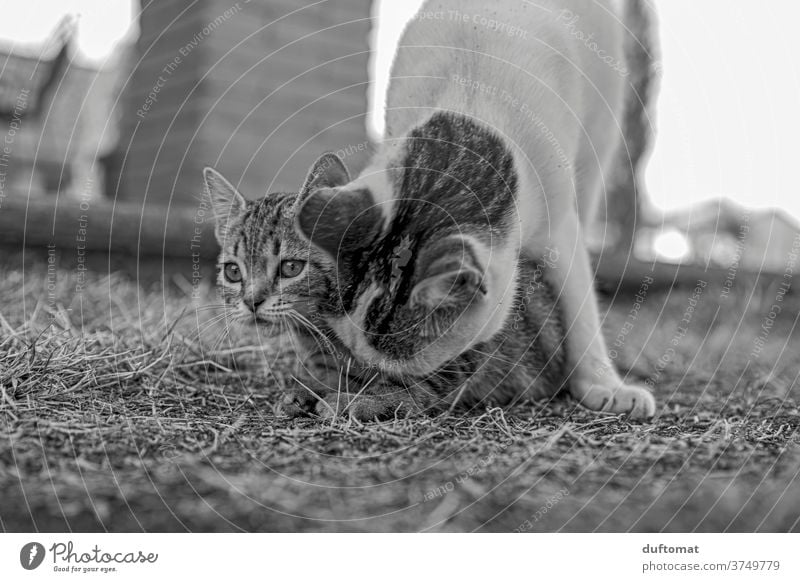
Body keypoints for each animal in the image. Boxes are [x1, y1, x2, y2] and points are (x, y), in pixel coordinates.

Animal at [206, 157, 568, 422]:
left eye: (291, 267)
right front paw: (313, 388)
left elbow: (421, 381)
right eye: (233, 271)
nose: (251, 301)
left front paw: (364, 400)